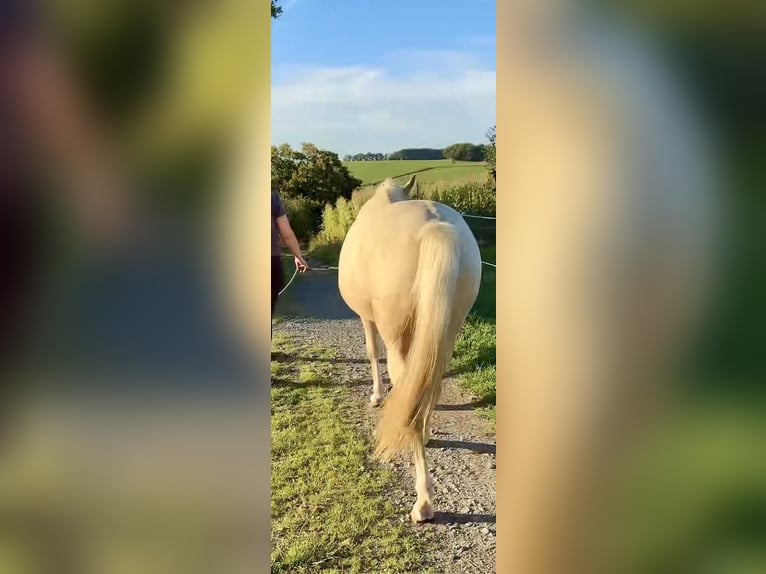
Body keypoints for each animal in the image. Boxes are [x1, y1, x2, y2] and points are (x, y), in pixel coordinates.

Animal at [337, 174, 483, 522]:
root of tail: (434, 225)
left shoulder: (366, 318)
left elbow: (370, 352)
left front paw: (376, 397)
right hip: (447, 331)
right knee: (430, 384)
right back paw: (427, 434)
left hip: (398, 339)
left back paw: (424, 502)